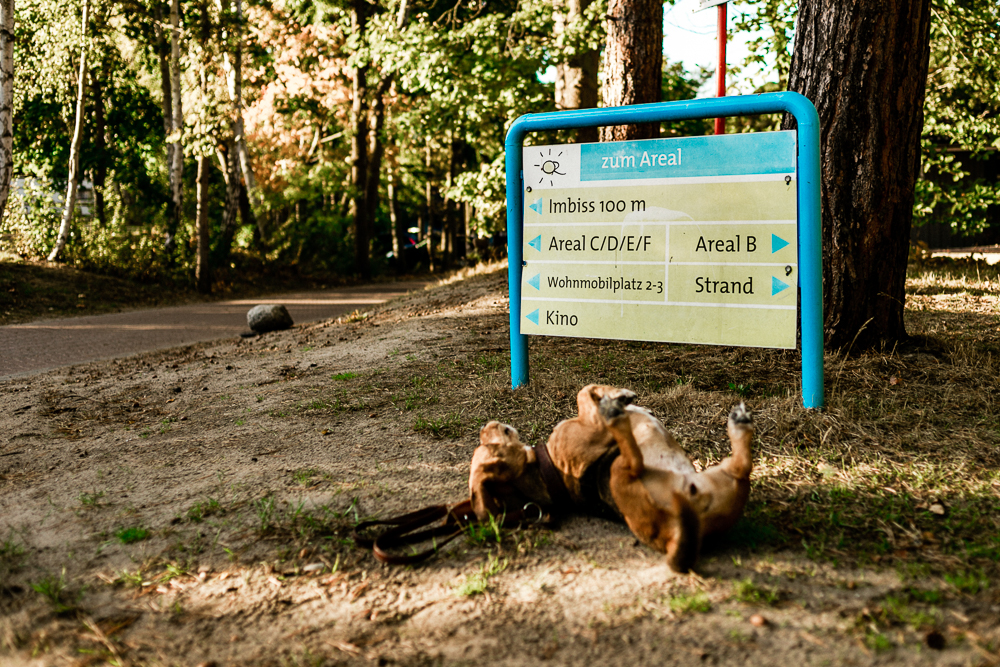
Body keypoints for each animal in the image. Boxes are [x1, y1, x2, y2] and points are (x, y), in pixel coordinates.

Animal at [472, 388, 752, 572]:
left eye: (484, 444)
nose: (483, 426)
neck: (545, 468)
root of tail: (674, 532)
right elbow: (583, 393)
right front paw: (617, 397)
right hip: (621, 469)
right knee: (632, 459)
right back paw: (614, 414)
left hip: (726, 473)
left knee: (742, 465)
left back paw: (738, 425)